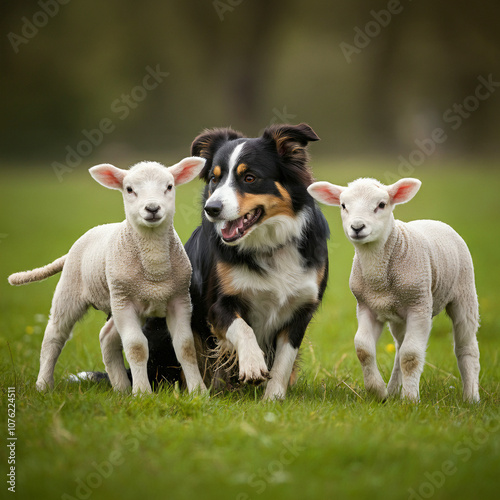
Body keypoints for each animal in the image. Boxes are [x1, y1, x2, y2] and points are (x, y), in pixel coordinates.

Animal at [8, 158, 207, 396]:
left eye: (169, 186)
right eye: (129, 189)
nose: (152, 208)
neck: (154, 272)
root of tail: (97, 229)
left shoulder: (179, 300)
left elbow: (186, 346)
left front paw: (199, 392)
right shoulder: (125, 301)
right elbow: (136, 347)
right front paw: (142, 393)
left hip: (121, 303)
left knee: (107, 337)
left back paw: (121, 388)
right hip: (73, 291)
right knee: (54, 335)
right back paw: (43, 385)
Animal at [144, 123, 332, 400]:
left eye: (250, 178)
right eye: (215, 179)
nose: (211, 209)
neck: (269, 246)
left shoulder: (301, 309)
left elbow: (284, 361)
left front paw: (273, 400)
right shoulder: (218, 305)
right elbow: (244, 328)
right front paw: (253, 364)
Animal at [308, 178, 480, 400]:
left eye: (381, 205)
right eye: (343, 205)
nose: (357, 227)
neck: (379, 279)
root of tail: (435, 221)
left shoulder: (419, 306)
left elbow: (411, 356)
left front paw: (410, 399)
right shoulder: (366, 306)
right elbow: (363, 349)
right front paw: (378, 392)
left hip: (464, 293)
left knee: (466, 345)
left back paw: (471, 397)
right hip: (398, 316)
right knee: (399, 347)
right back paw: (392, 390)